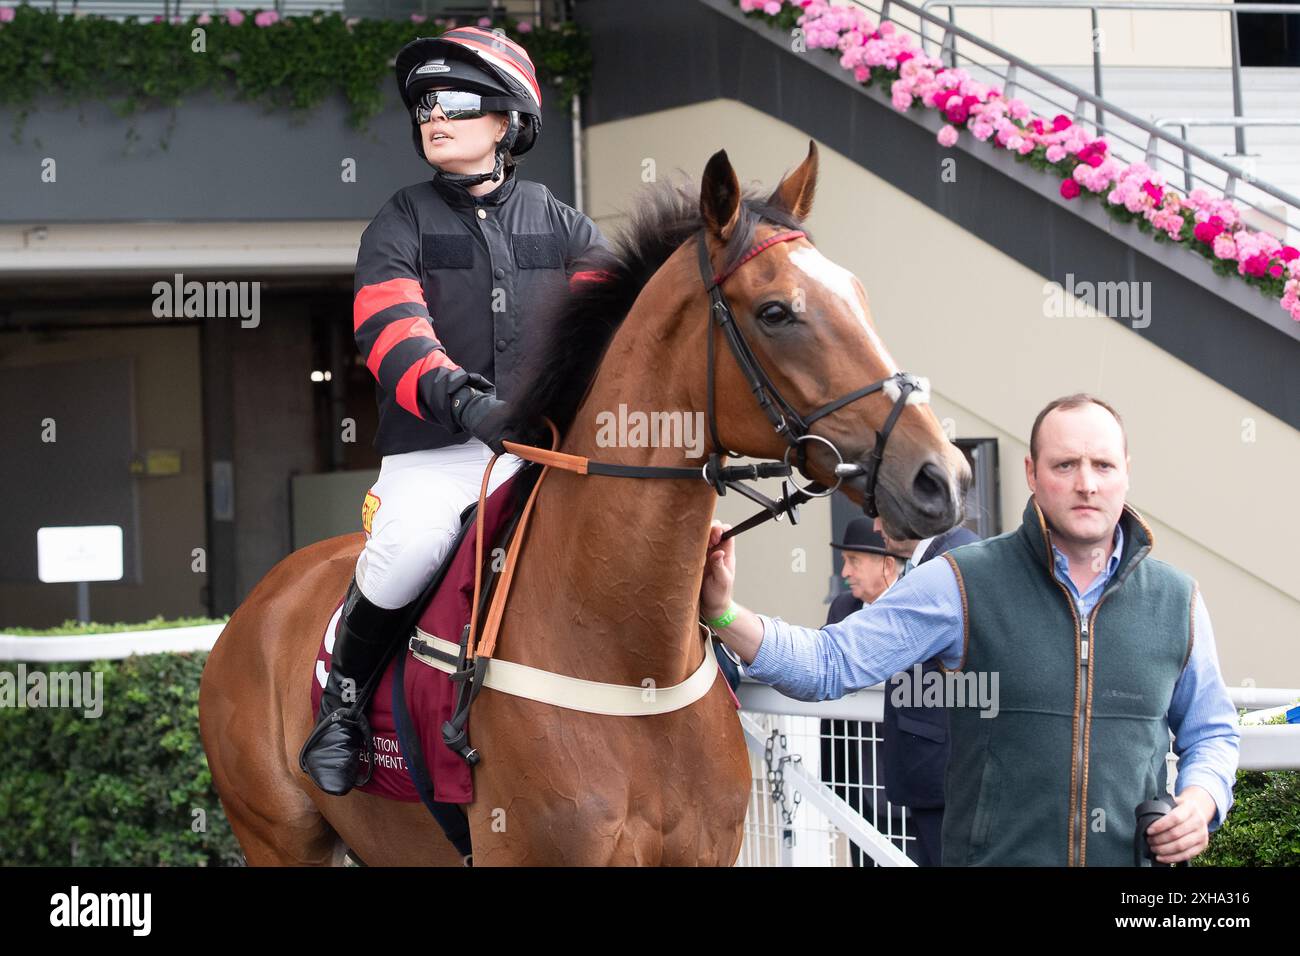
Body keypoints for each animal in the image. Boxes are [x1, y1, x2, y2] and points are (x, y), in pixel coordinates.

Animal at [192, 141, 967, 868]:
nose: (942, 477)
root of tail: (261, 600)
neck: (628, 658)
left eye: (858, 294)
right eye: (777, 312)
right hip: (279, 838)